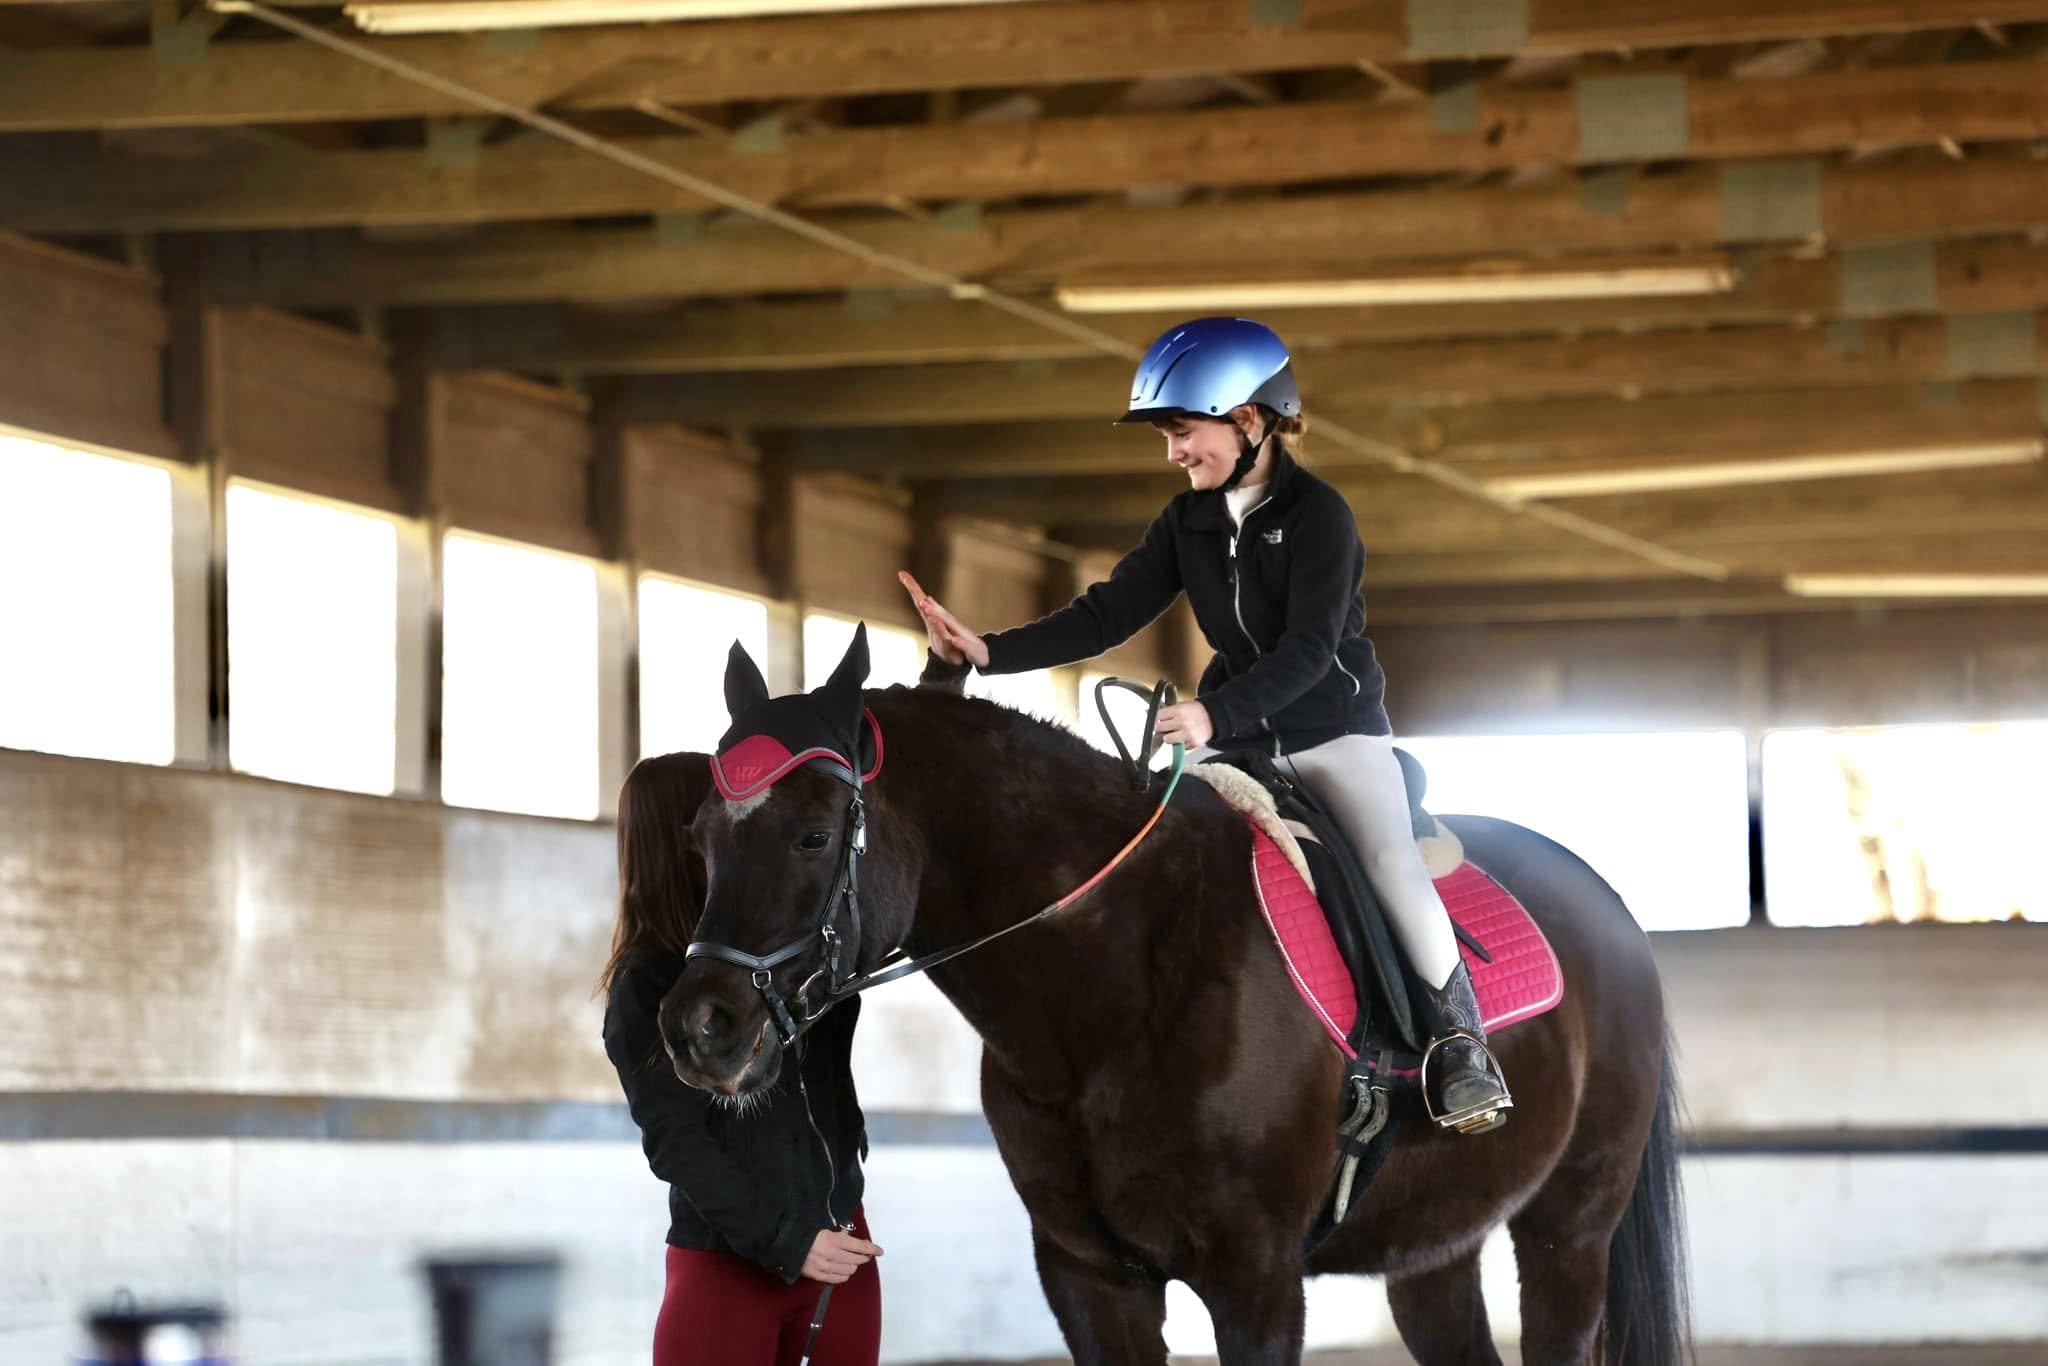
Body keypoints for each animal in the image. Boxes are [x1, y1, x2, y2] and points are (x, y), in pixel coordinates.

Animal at [631, 631, 1689, 1366]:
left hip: (1569, 1227)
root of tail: (1608, 908)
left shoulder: (1256, 1281)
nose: (698, 1029)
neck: (1111, 996)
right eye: (700, 836)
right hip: (1433, 1244)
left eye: (814, 834)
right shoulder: (1091, 1279)